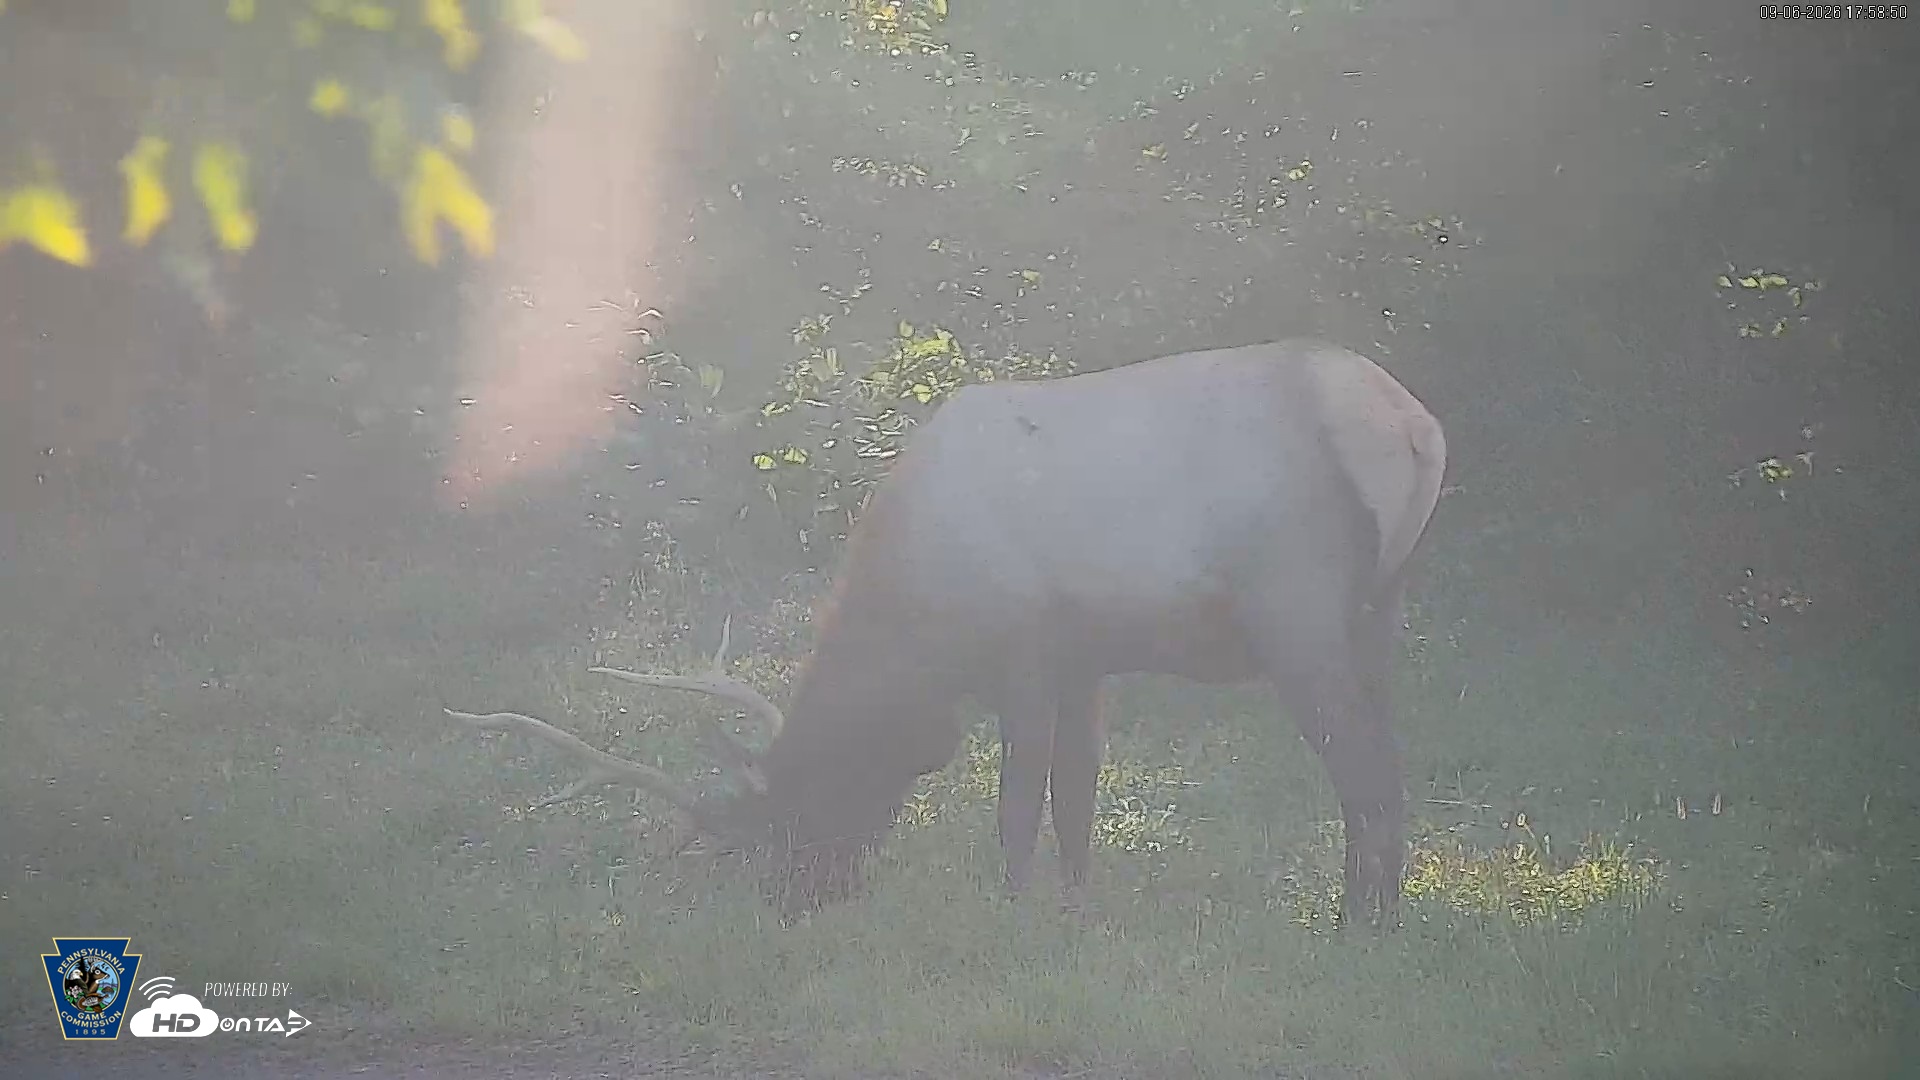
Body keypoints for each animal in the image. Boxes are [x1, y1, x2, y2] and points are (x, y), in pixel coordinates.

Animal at [446, 339, 1447, 927]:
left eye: (787, 818)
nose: (795, 901)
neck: (920, 618)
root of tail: (1414, 429)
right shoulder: (1087, 661)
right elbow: (1077, 799)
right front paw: (1075, 911)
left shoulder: (1029, 651)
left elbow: (1019, 807)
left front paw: (1012, 914)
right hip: (1380, 615)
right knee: (1389, 768)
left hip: (1299, 609)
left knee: (1365, 774)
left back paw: (1357, 927)